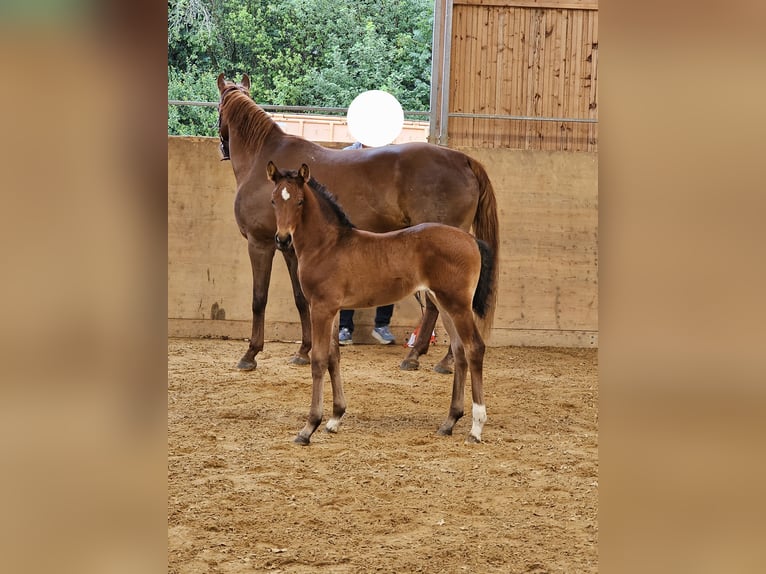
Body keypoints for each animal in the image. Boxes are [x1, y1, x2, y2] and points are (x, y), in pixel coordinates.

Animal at [270, 164, 498, 448]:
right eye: (274, 200)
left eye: (300, 201)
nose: (282, 239)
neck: (327, 246)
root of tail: (471, 240)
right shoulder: (333, 310)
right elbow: (334, 357)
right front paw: (335, 419)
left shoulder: (321, 308)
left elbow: (319, 361)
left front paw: (309, 427)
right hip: (444, 304)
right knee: (459, 351)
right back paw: (449, 422)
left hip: (458, 304)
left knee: (474, 348)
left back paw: (476, 428)